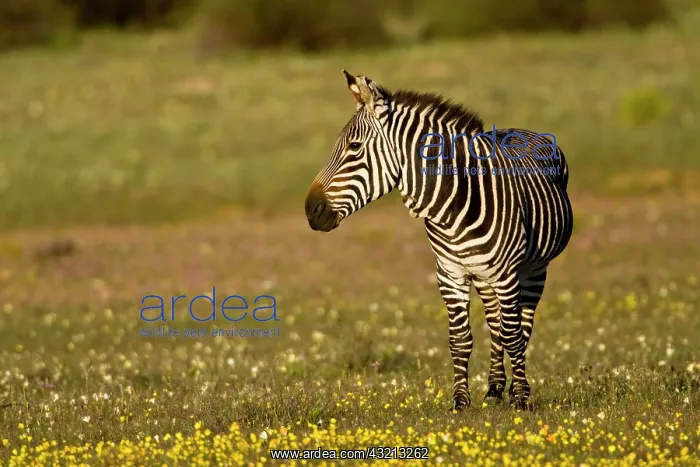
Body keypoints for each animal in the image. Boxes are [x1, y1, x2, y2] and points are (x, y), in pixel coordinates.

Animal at [305, 70, 573, 411]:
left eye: (354, 147)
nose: (310, 210)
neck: (455, 202)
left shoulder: (506, 274)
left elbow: (514, 335)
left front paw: (522, 398)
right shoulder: (450, 274)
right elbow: (460, 339)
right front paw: (461, 401)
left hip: (533, 269)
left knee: (521, 326)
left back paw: (513, 388)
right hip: (483, 276)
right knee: (495, 324)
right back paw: (495, 388)